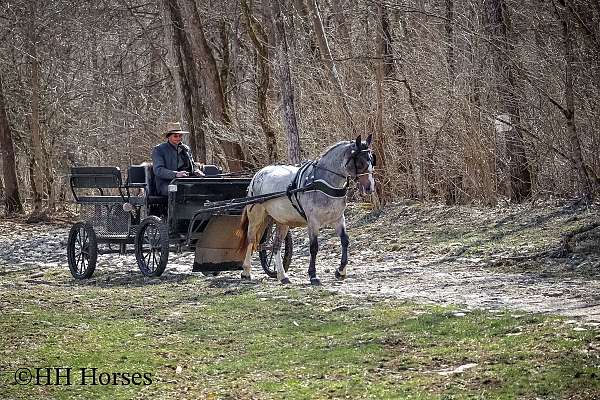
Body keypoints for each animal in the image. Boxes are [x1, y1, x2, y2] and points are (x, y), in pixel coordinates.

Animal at [236, 134, 372, 284]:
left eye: (372, 159)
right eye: (360, 162)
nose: (370, 187)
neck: (321, 182)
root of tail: (258, 174)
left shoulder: (338, 219)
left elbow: (345, 241)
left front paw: (341, 271)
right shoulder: (313, 222)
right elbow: (314, 247)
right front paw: (313, 275)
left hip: (282, 221)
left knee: (276, 246)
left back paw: (282, 276)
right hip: (257, 217)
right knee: (250, 241)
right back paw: (246, 272)